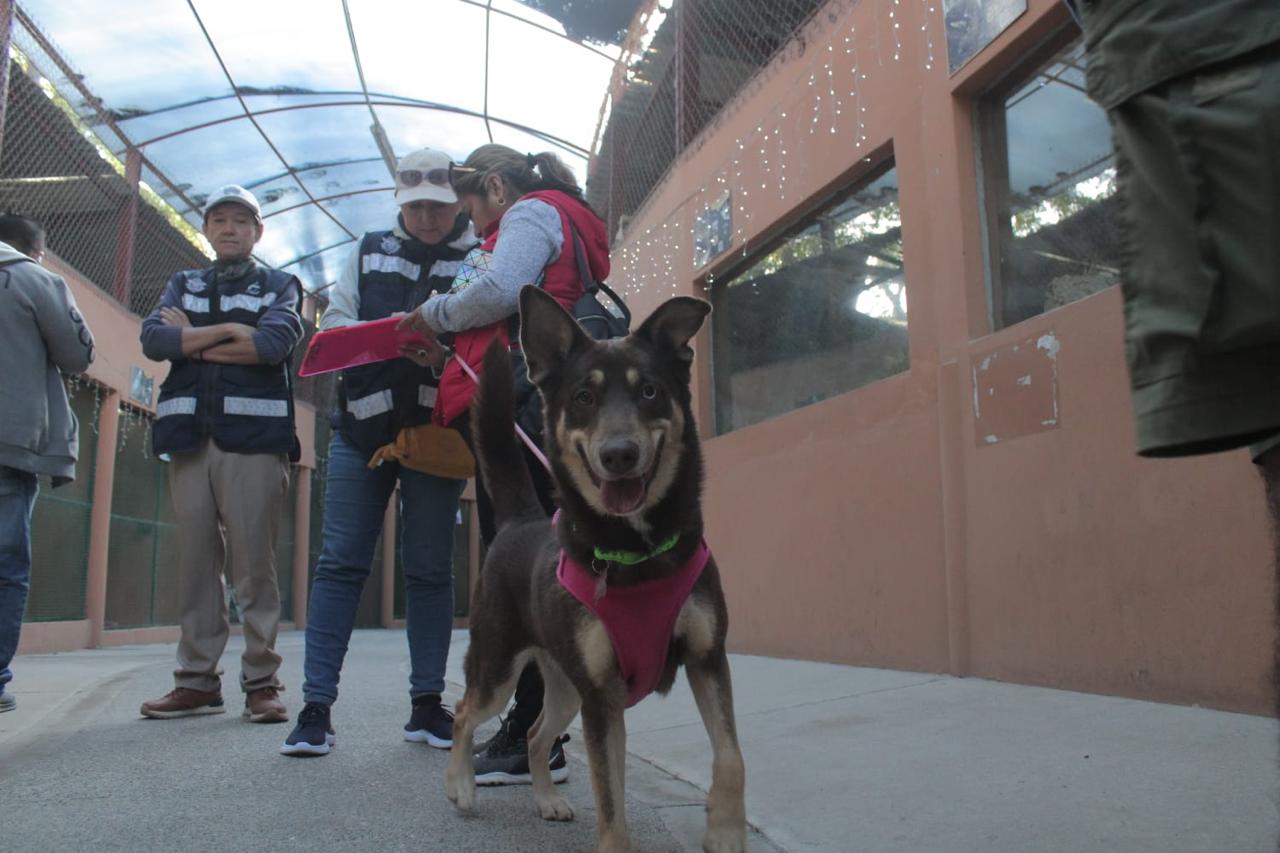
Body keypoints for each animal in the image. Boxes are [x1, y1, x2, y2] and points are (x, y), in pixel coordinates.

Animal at [450, 286, 747, 850]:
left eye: (650, 391)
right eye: (583, 398)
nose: (619, 455)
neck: (638, 552)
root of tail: (520, 520)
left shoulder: (707, 658)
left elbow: (731, 757)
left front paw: (724, 833)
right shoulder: (601, 696)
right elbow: (610, 798)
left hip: (564, 683)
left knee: (534, 733)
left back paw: (545, 799)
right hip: (499, 668)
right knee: (462, 714)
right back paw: (462, 788)